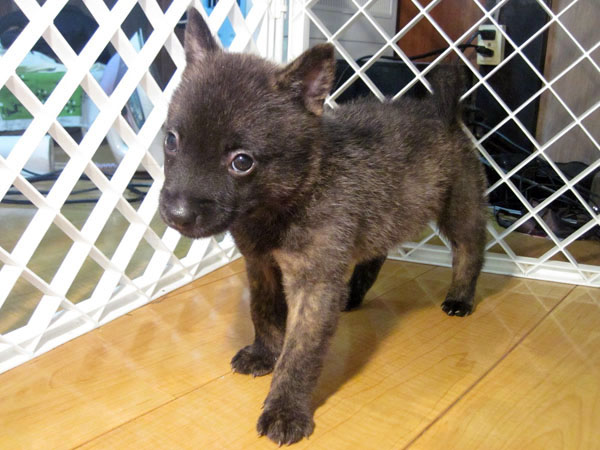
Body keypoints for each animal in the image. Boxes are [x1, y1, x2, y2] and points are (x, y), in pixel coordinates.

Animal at [159, 8, 487, 445]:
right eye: (171, 140)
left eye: (242, 162)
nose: (176, 214)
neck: (291, 196)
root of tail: (442, 112)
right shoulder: (261, 265)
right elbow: (263, 312)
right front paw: (265, 353)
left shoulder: (313, 284)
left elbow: (301, 352)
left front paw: (285, 409)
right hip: (385, 214)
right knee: (376, 251)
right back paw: (355, 293)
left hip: (459, 209)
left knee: (469, 250)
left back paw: (461, 297)